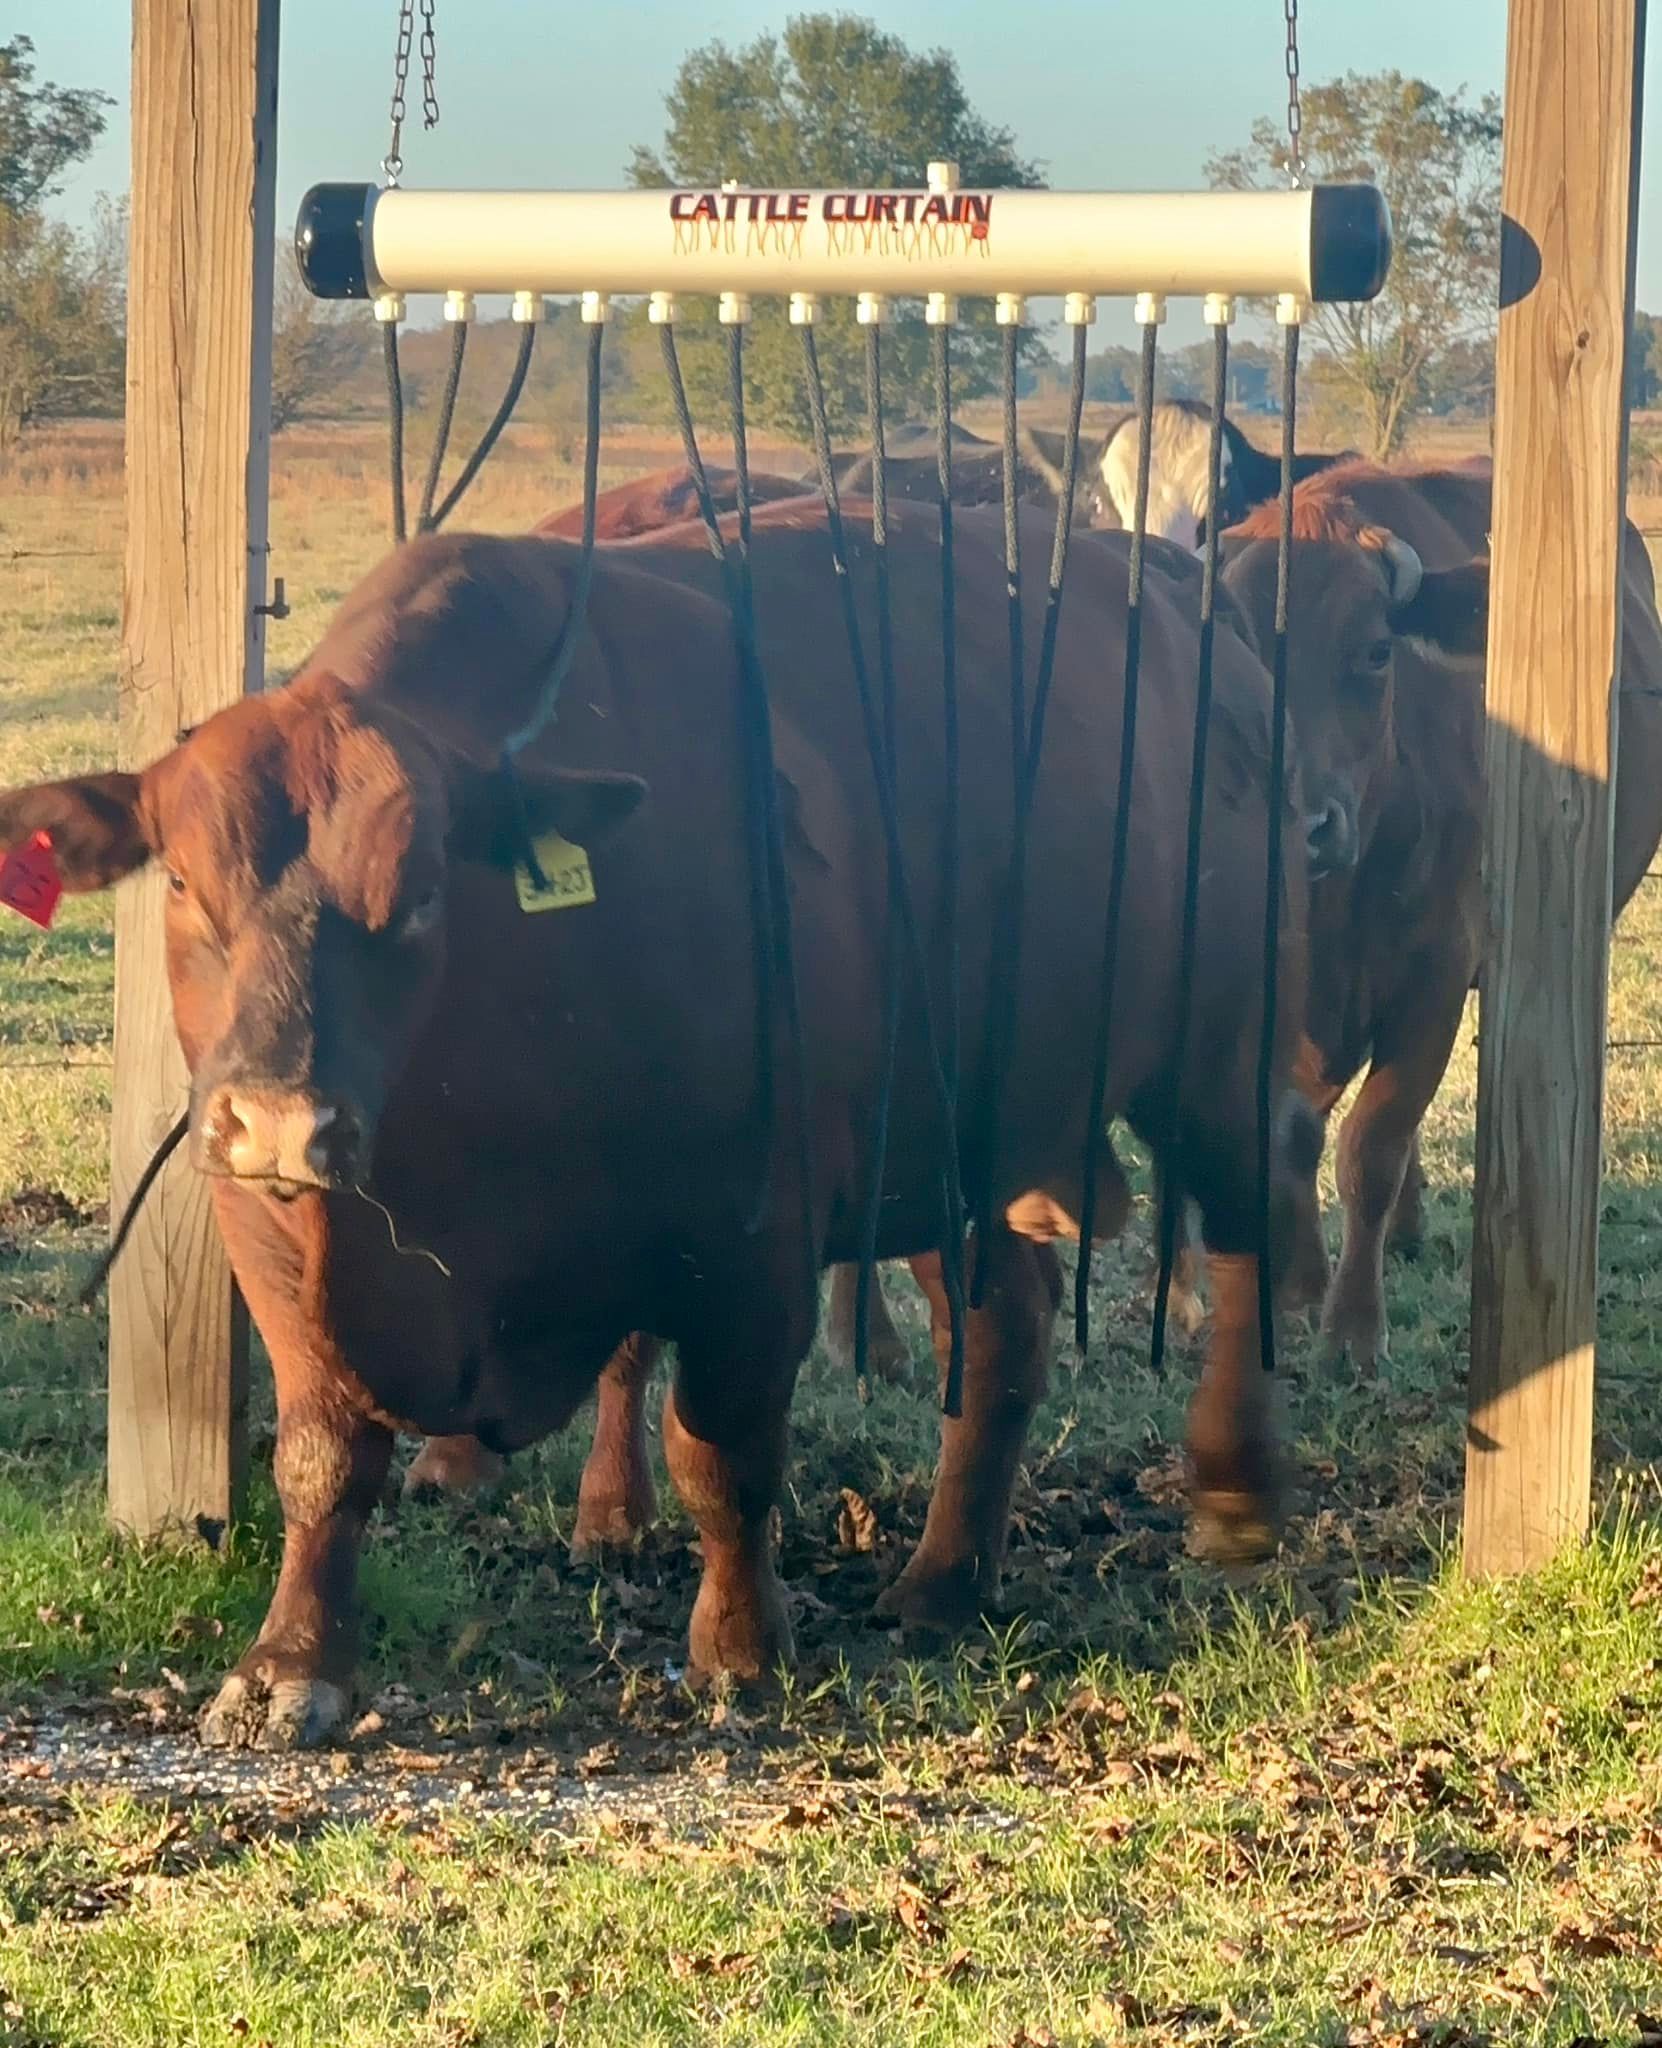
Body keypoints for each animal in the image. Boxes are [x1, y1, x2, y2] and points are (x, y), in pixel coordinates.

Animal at [0, 496, 1315, 1749]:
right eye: (182, 881)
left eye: (421, 892)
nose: (279, 1116)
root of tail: (1195, 608)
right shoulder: (276, 1244)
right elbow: (323, 1460)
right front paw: (288, 1668)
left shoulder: (755, 1237)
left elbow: (721, 1453)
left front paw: (738, 1644)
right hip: (964, 1140)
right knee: (1004, 1330)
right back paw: (945, 1576)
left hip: (1219, 1056)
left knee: (1246, 1234)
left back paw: (1234, 1492)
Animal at [1217, 457, 1662, 1367]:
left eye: (1376, 651)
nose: (1306, 823)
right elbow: (1292, 1136)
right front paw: (1298, 1289)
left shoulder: (1434, 978)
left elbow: (1373, 1147)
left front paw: (1354, 1331)